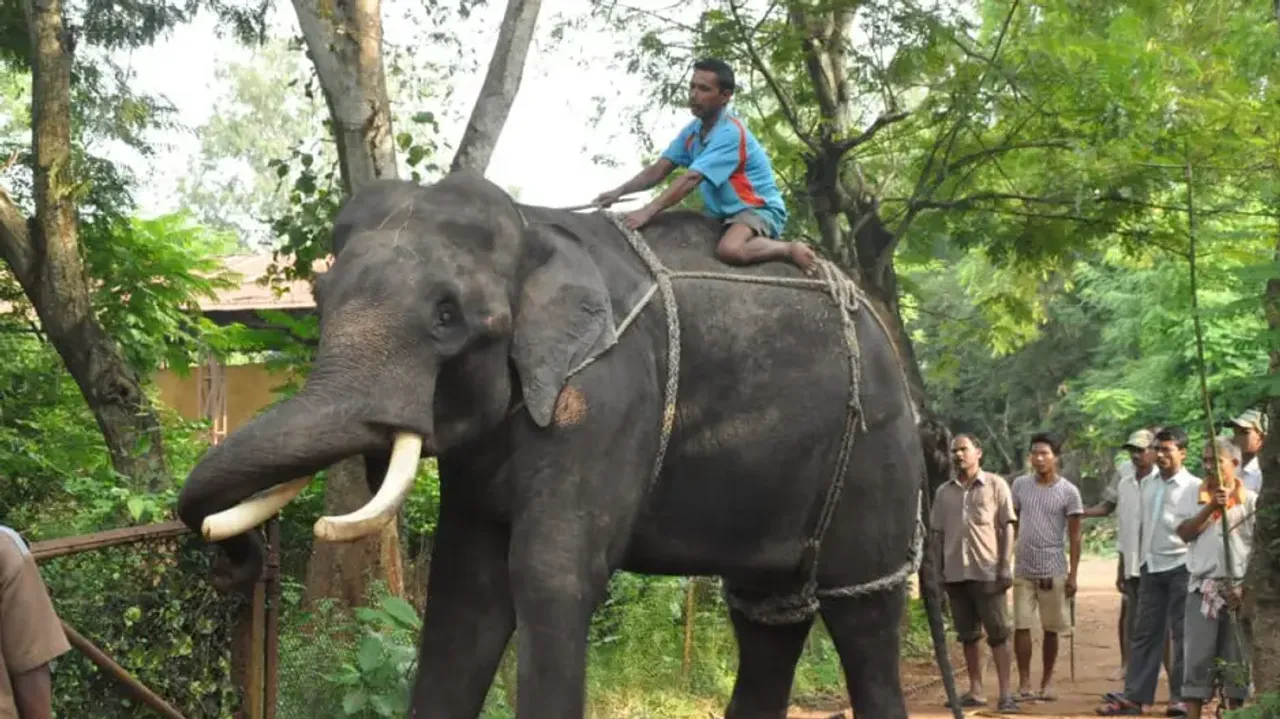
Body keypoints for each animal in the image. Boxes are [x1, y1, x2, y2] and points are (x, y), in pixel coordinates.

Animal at [176, 170, 962, 719]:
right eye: (321, 300)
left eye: (448, 315)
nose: (233, 564)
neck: (534, 229)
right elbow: (465, 588)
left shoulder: (607, 399)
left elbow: (549, 575)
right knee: (769, 617)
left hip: (873, 455)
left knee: (863, 618)